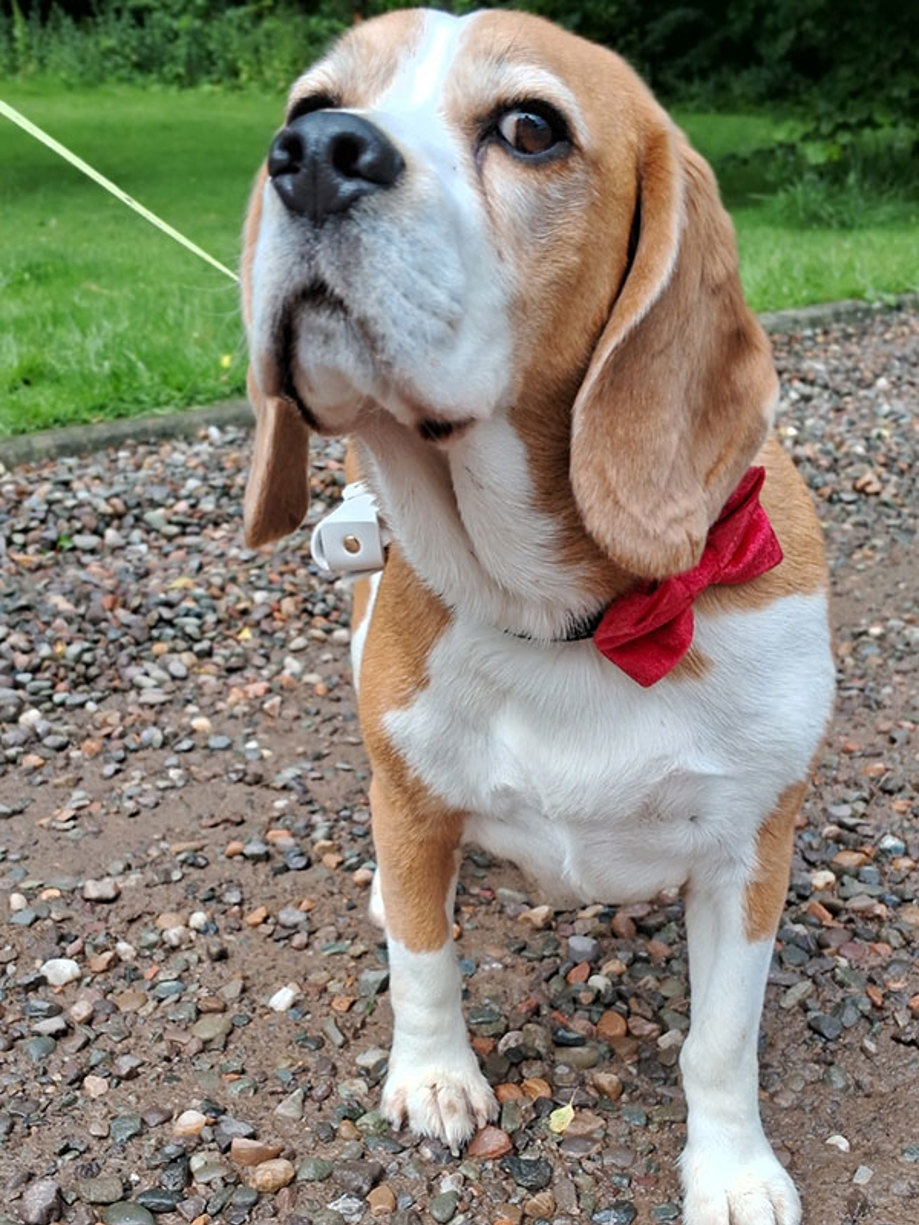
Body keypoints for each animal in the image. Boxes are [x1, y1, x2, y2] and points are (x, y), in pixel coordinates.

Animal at [241, 11, 838, 1225]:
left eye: (530, 129)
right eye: (309, 104)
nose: (314, 152)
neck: (565, 615)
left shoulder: (747, 852)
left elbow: (721, 1040)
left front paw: (732, 1170)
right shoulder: (415, 800)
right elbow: (425, 957)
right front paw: (433, 1077)